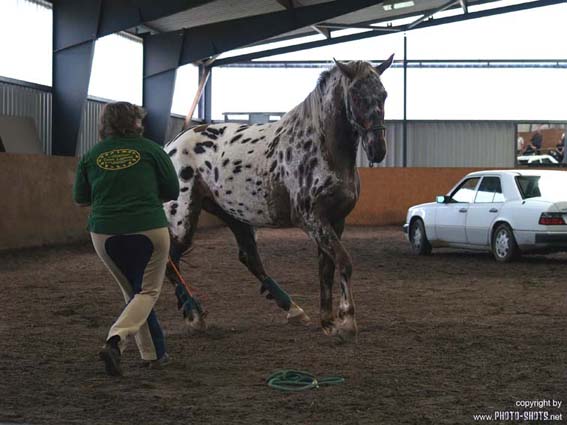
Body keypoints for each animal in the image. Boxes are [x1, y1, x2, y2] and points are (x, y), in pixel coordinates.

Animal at [164, 55, 394, 342]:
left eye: (383, 94)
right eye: (356, 95)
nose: (377, 149)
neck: (322, 148)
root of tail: (172, 144)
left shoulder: (335, 220)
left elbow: (326, 269)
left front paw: (328, 321)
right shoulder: (312, 220)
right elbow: (343, 262)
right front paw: (347, 320)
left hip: (233, 214)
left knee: (249, 258)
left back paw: (293, 309)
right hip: (183, 217)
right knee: (170, 260)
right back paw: (194, 315)